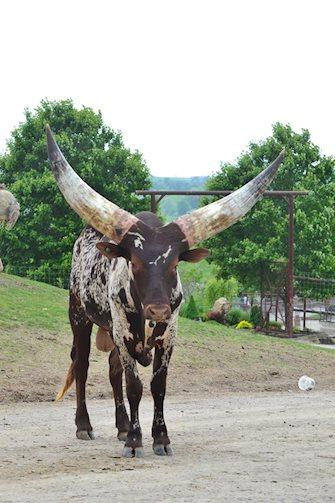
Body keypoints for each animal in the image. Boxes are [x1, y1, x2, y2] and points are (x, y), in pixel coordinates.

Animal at [46, 126, 284, 456]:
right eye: (133, 262)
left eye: (174, 264)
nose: (157, 310)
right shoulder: (122, 330)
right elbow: (134, 386)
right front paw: (135, 442)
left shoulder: (169, 334)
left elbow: (158, 386)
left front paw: (160, 438)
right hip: (78, 314)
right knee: (81, 365)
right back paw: (84, 426)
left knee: (113, 370)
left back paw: (121, 426)